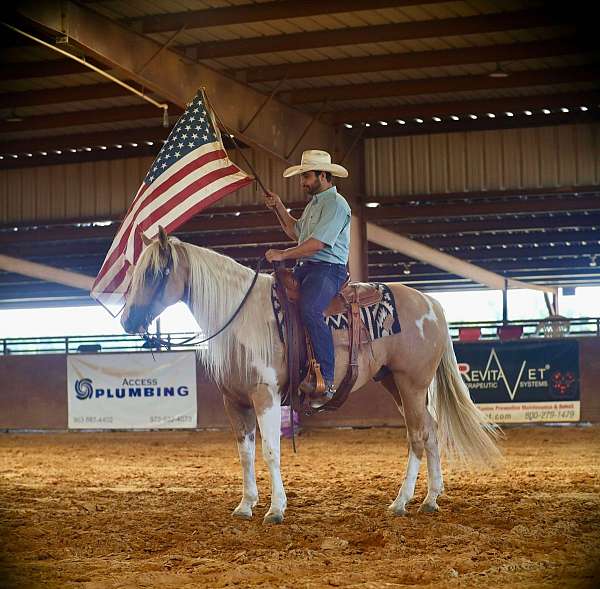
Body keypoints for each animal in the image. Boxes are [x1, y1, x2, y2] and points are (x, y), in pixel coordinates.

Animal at [119, 229, 500, 524]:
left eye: (153, 274)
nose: (126, 321)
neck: (244, 317)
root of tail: (431, 304)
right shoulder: (235, 401)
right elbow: (245, 453)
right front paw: (245, 506)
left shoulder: (266, 395)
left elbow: (271, 450)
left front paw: (275, 509)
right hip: (395, 382)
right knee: (431, 431)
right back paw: (431, 499)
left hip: (412, 382)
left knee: (419, 436)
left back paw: (401, 502)